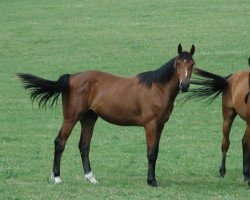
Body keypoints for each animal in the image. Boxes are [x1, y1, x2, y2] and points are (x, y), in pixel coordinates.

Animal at [17, 44, 196, 188]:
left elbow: (156, 152)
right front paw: (152, 181)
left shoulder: (160, 125)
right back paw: (57, 178)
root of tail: (71, 77)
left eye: (192, 64)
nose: (184, 85)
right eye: (178, 63)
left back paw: (91, 178)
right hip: (71, 118)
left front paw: (152, 179)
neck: (157, 88)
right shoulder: (150, 125)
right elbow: (151, 153)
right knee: (60, 142)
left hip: (88, 118)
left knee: (84, 146)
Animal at [184, 58, 250, 186]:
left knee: (244, 142)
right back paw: (223, 171)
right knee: (226, 142)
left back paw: (245, 175)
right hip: (228, 115)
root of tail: (231, 77)